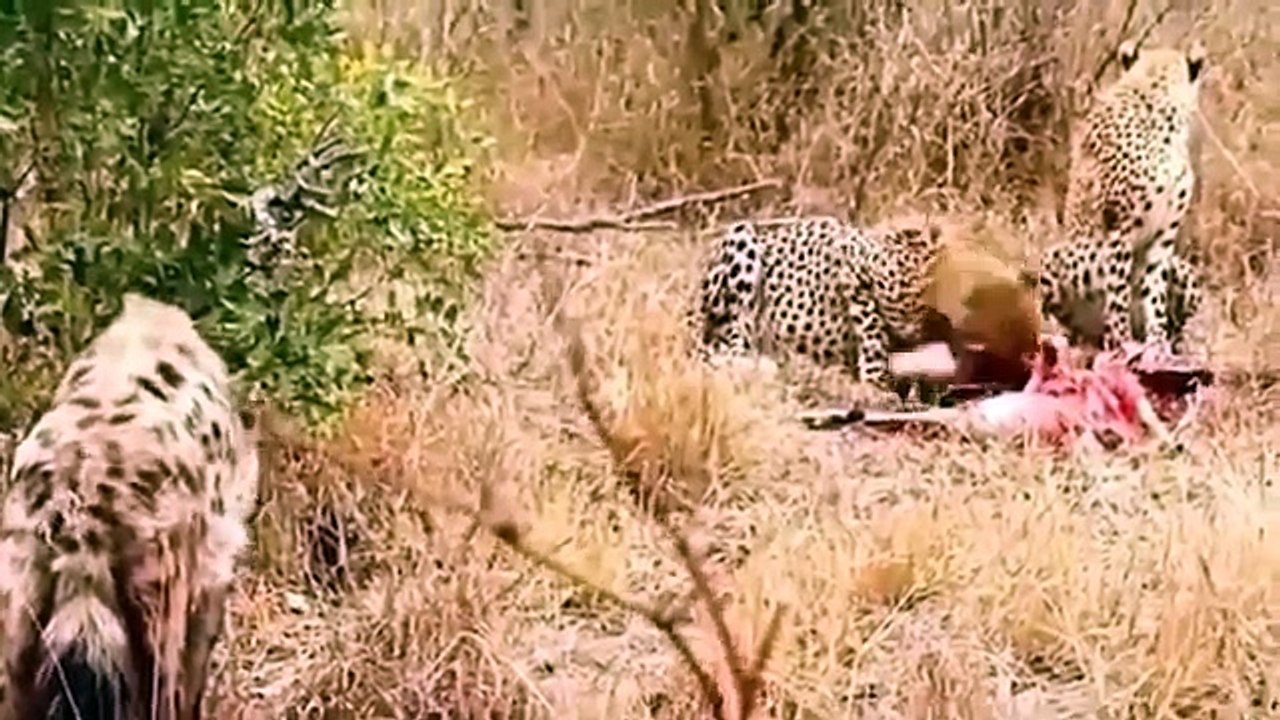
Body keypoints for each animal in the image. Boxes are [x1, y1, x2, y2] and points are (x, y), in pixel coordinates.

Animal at [692, 214, 1041, 393]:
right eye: (1023, 350)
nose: (1033, 359)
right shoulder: (851, 262)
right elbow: (872, 329)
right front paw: (876, 379)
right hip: (740, 239)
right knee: (726, 344)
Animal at [1037, 39, 1208, 354]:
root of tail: (1089, 334)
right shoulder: (1120, 229)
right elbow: (1118, 296)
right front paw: (1123, 343)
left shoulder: (1163, 239)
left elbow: (1155, 297)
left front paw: (1157, 345)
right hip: (1058, 260)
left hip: (1182, 268)